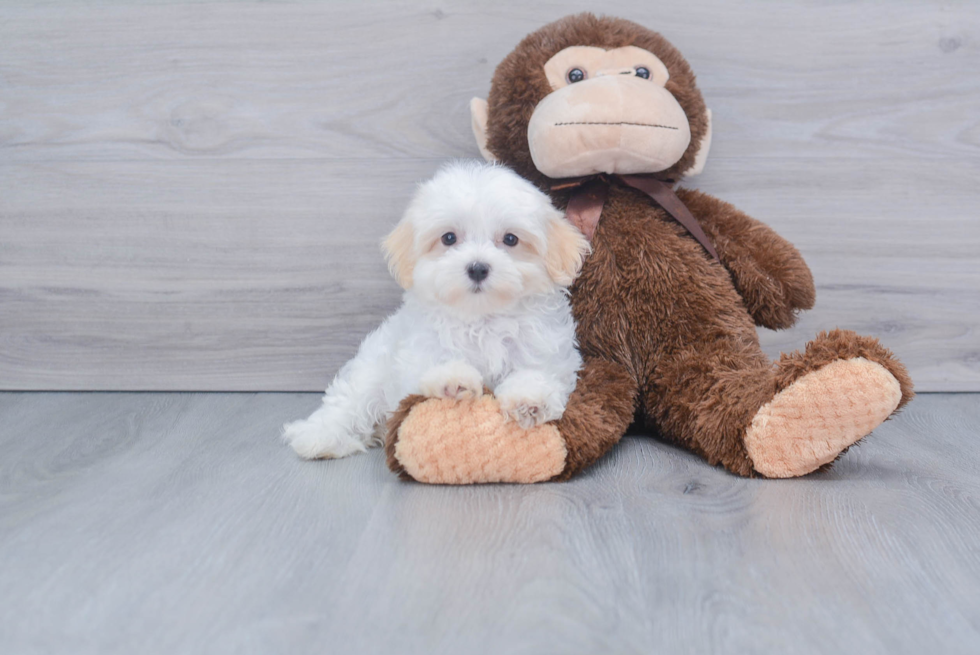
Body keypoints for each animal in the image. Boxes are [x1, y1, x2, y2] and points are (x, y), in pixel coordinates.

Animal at [284, 162, 588, 462]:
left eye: (511, 239)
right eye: (449, 238)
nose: (478, 268)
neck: (482, 318)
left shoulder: (544, 350)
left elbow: (536, 373)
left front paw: (529, 400)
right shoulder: (418, 354)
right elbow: (433, 368)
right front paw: (453, 381)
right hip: (369, 372)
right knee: (347, 402)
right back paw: (318, 438)